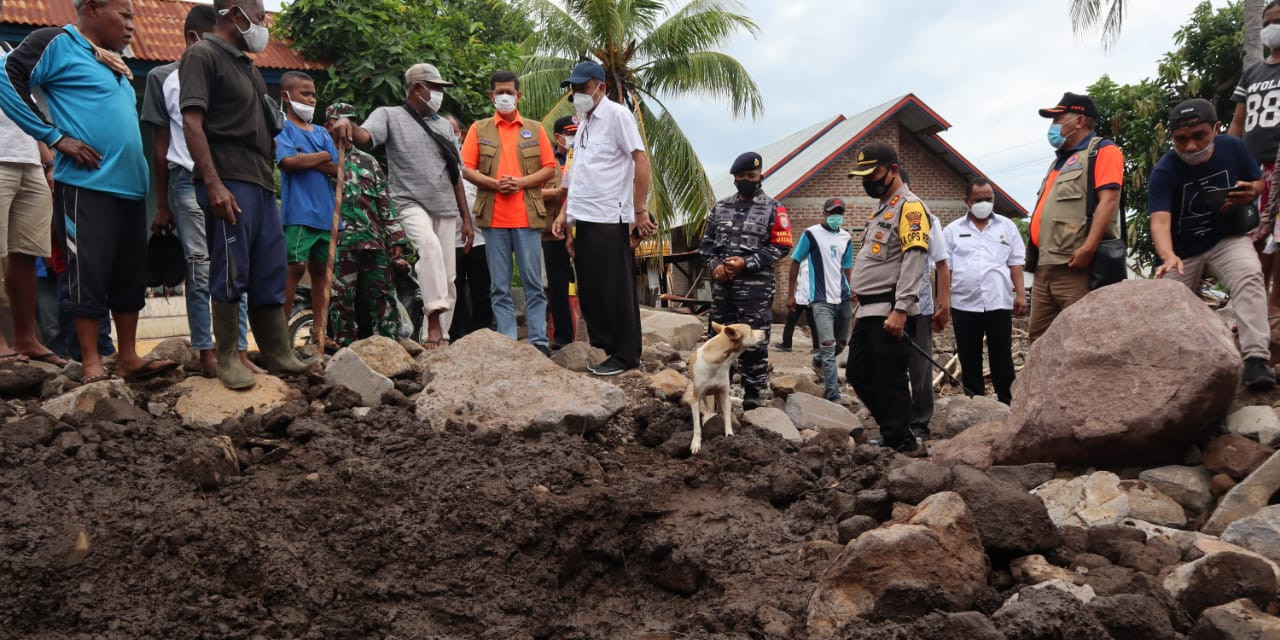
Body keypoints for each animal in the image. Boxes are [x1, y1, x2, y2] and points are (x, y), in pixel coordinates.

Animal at [686, 322, 762, 453]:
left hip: (718, 393)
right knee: (707, 406)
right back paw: (707, 417)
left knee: (719, 408)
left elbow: (727, 419)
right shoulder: (695, 399)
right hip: (704, 394)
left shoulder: (725, 395)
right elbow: (697, 426)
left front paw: (729, 436)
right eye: (751, 330)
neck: (719, 362)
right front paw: (696, 443)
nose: (764, 332)